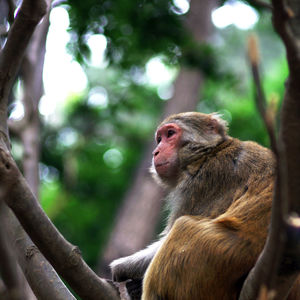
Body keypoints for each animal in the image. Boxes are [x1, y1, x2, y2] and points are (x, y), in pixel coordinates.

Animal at [110, 112, 300, 300]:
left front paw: (121, 267)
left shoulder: (201, 183)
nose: (155, 152)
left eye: (170, 134)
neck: (208, 153)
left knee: (184, 227)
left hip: (218, 256)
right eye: (159, 139)